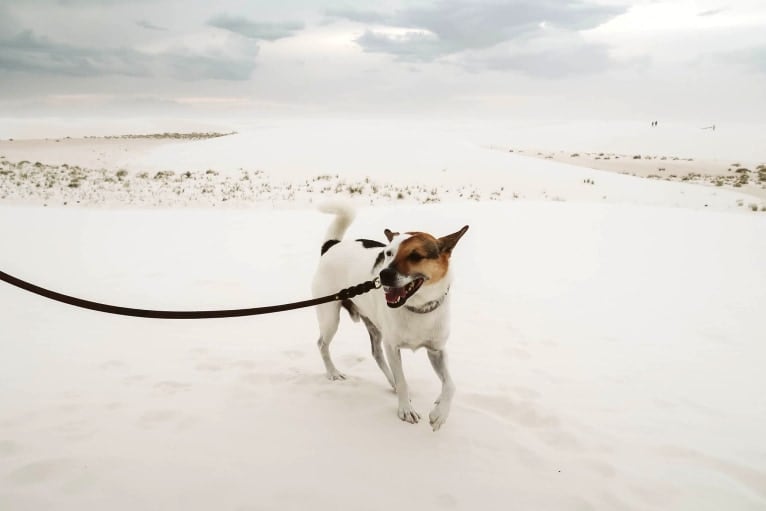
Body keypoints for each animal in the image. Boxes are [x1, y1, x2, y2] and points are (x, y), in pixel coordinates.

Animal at [312, 204, 468, 432]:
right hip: (330, 316)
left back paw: (391, 382)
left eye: (415, 256)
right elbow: (403, 380)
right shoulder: (393, 346)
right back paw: (333, 372)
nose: (383, 275)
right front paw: (406, 410)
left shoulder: (436, 350)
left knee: (376, 353)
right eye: (388, 253)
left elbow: (450, 385)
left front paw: (440, 413)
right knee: (322, 344)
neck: (417, 308)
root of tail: (333, 246)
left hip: (374, 326)